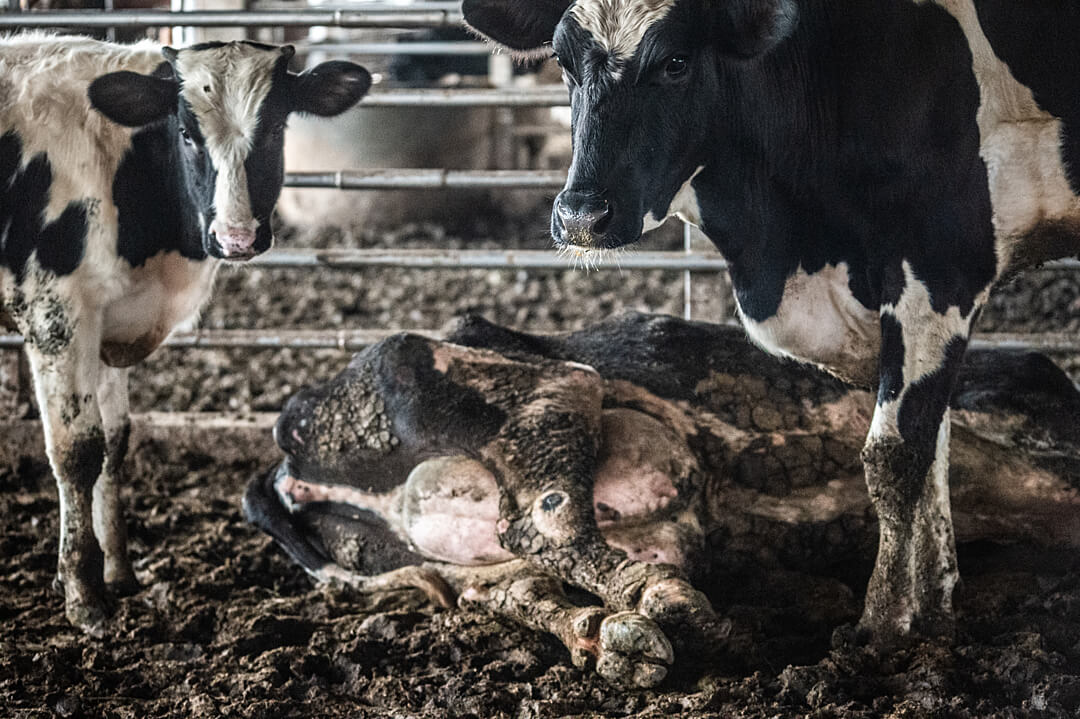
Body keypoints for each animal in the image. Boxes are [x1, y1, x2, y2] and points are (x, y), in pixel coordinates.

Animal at [0, 33, 369, 634]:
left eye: (275, 127)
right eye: (186, 133)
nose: (236, 237)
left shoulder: (109, 315)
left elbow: (114, 442)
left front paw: (118, 571)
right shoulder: (54, 310)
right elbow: (78, 450)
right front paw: (83, 595)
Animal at [245, 313, 1080, 682]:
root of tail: (285, 457)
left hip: (426, 555)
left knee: (503, 581)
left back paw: (605, 631)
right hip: (481, 376)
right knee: (542, 518)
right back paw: (667, 606)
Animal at [460, 0, 1080, 639]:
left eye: (676, 62)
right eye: (562, 60)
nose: (582, 216)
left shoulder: (943, 262)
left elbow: (896, 456)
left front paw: (881, 626)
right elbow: (931, 447)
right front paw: (932, 614)